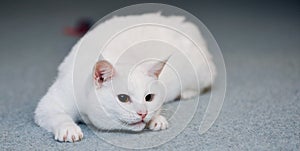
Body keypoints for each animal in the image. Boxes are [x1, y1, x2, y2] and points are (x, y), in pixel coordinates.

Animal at [34, 12, 216, 142]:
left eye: (149, 98)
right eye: (123, 98)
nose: (143, 113)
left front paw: (156, 118)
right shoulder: (49, 104)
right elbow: (59, 116)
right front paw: (68, 128)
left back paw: (186, 93)